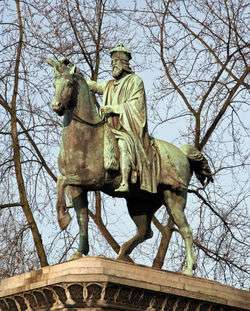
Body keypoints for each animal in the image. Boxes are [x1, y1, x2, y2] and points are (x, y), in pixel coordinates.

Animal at [47, 58, 212, 276]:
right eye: (54, 82)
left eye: (69, 83)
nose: (56, 106)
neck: (85, 137)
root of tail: (182, 153)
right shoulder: (78, 187)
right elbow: (82, 216)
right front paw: (79, 251)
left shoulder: (92, 179)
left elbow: (61, 181)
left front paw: (63, 219)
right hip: (139, 204)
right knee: (145, 231)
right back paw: (123, 253)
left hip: (174, 198)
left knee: (185, 230)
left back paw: (188, 270)